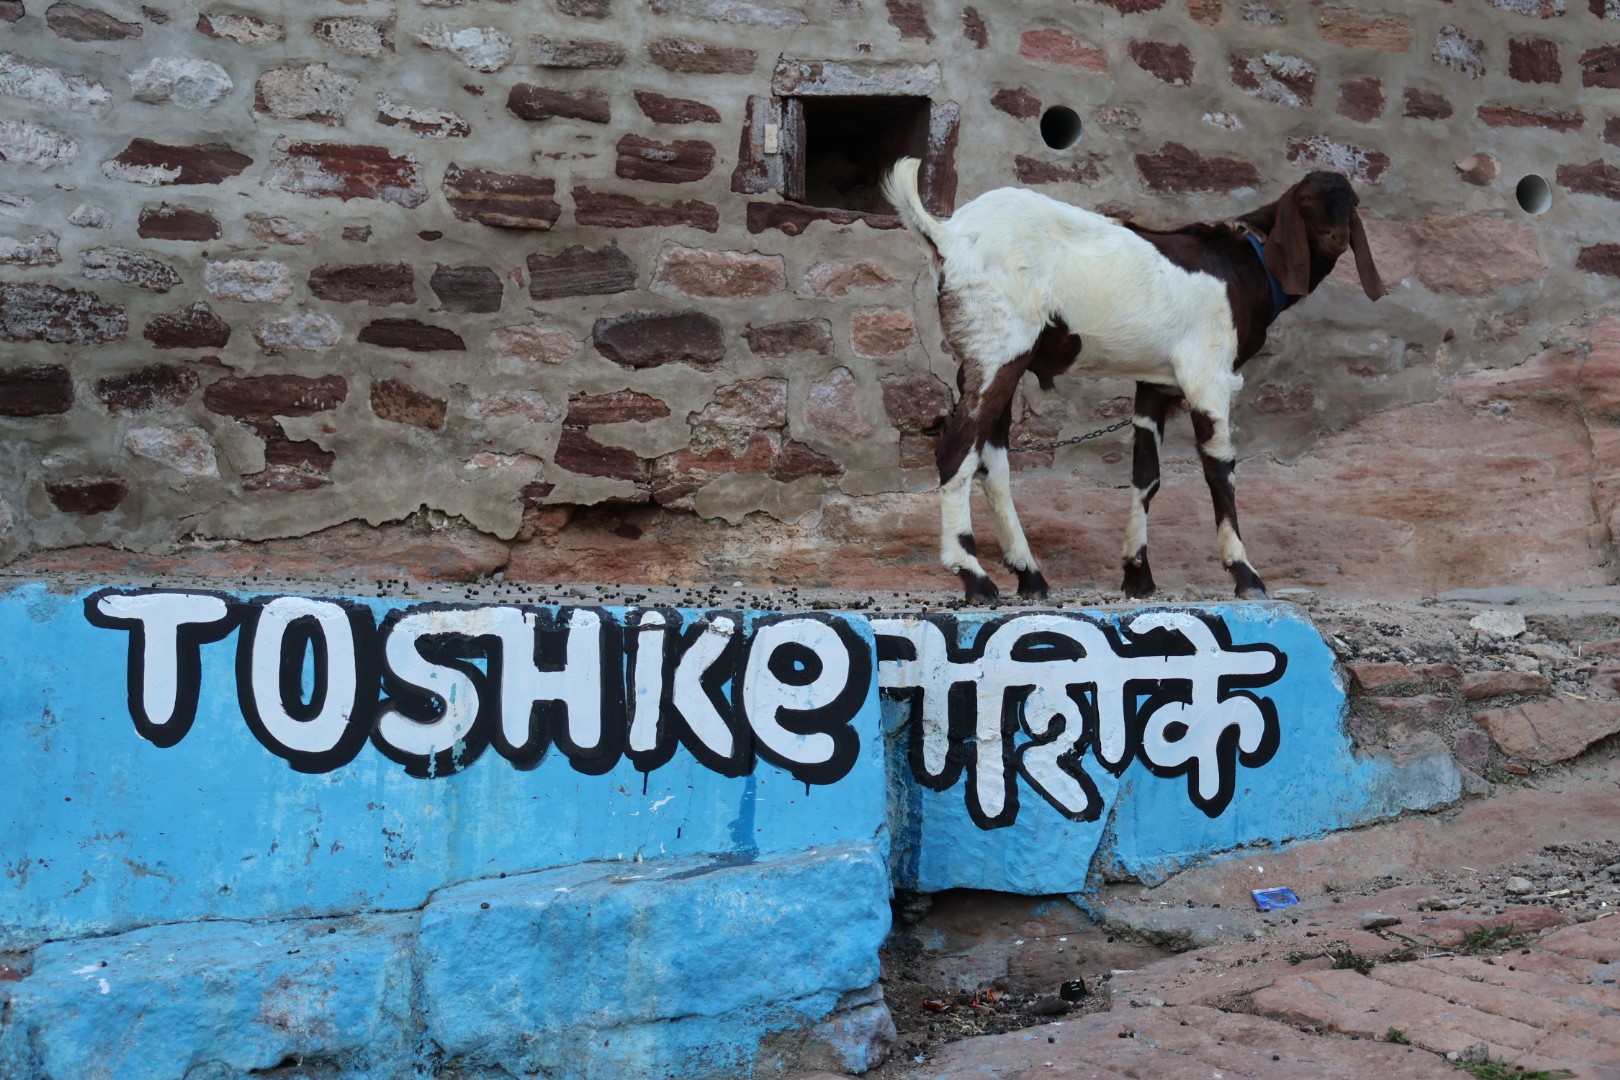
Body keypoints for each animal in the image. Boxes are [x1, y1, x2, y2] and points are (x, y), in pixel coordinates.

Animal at [881, 157, 1385, 603]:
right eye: (1306, 200)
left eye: (1352, 203)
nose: (1337, 238)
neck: (1243, 263)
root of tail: (947, 236)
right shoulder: (1207, 373)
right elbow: (1219, 469)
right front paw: (1245, 574)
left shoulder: (1155, 384)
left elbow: (1146, 476)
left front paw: (1138, 576)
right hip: (998, 348)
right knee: (956, 449)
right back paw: (975, 578)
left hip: (987, 357)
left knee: (992, 461)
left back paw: (1030, 575)